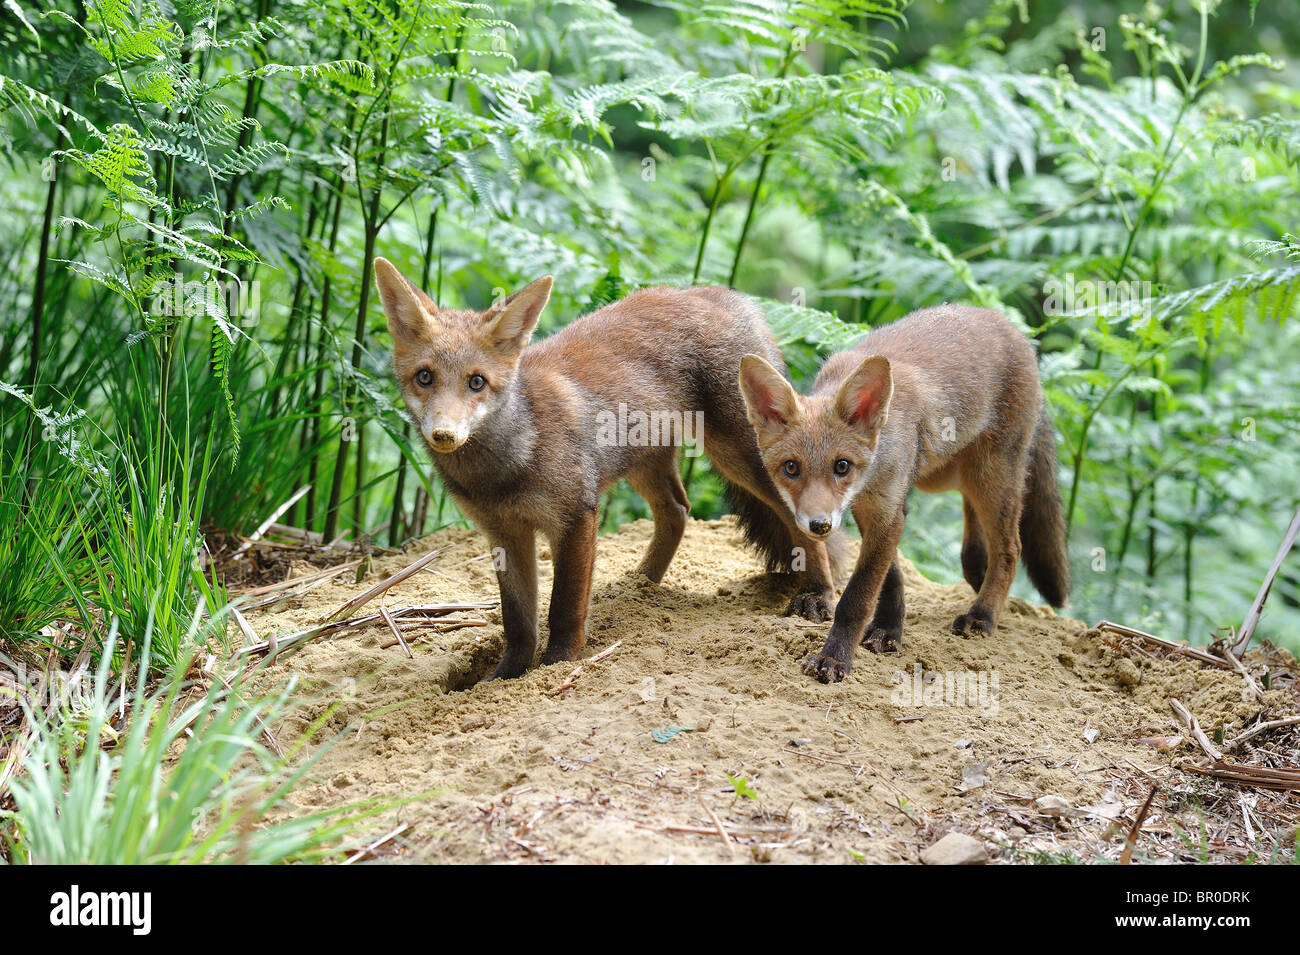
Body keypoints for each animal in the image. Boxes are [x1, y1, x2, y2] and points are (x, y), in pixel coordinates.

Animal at [373, 258, 839, 680]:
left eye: (476, 382)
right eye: (425, 377)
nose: (444, 434)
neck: (503, 469)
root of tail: (715, 293)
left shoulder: (576, 515)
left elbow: (563, 607)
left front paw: (557, 666)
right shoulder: (504, 532)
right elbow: (518, 622)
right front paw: (504, 677)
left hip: (744, 459)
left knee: (798, 521)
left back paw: (817, 594)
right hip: (644, 462)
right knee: (677, 510)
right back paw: (640, 587)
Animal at [739, 304, 1070, 683]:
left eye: (842, 466)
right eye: (791, 468)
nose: (819, 525)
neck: (874, 467)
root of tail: (1008, 324)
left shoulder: (886, 509)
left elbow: (857, 597)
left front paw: (834, 658)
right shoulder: (872, 508)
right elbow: (890, 578)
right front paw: (888, 629)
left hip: (992, 476)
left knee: (1010, 549)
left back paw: (983, 614)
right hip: (950, 476)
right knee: (973, 541)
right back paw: (979, 584)